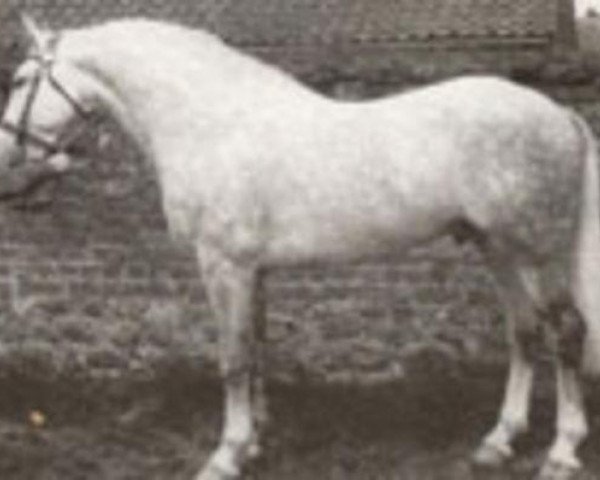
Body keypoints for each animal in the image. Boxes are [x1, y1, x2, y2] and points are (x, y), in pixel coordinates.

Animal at [1, 15, 600, 480]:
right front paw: (255, 444)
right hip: (498, 248)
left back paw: (561, 452)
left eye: (23, 78)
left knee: (566, 331)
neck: (212, 123)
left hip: (537, 250)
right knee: (524, 333)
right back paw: (498, 442)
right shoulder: (254, 270)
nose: (8, 156)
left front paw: (225, 455)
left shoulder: (224, 266)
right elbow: (258, 349)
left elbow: (234, 357)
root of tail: (558, 114)